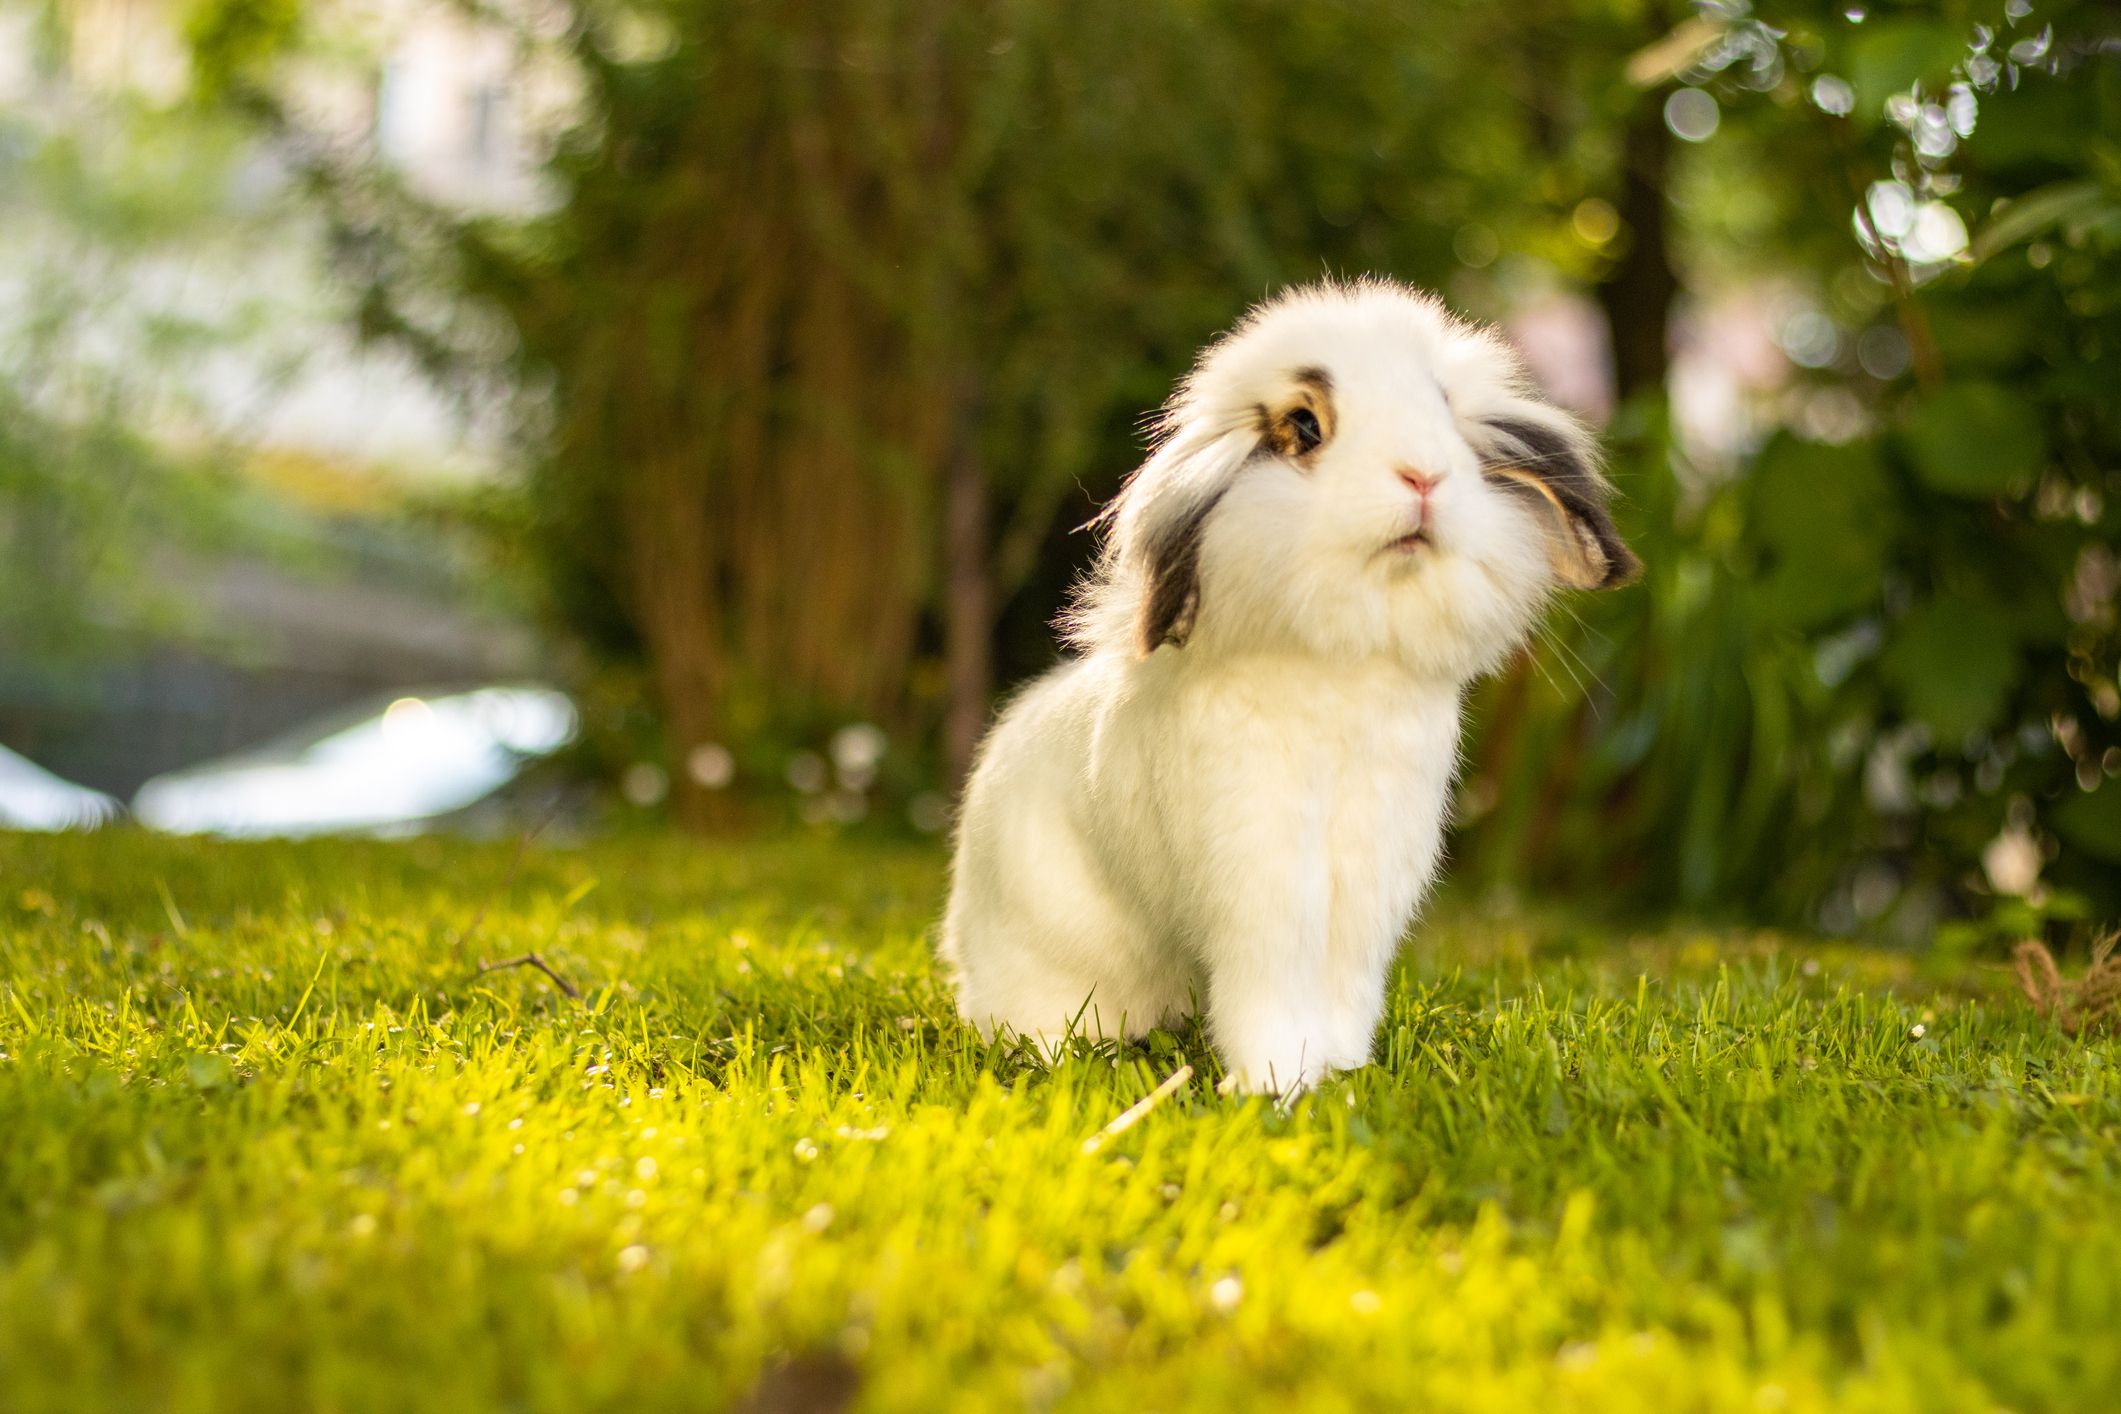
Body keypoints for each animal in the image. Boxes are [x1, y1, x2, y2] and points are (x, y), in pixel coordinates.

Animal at [945, 275, 1637, 1093]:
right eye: (1305, 426)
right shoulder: (1262, 879)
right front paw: (1274, 1085)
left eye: (1443, 411)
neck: (1344, 666)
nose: (1423, 476)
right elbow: (1268, 986)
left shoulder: (1365, 882)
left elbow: (1341, 986)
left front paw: (1339, 1069)